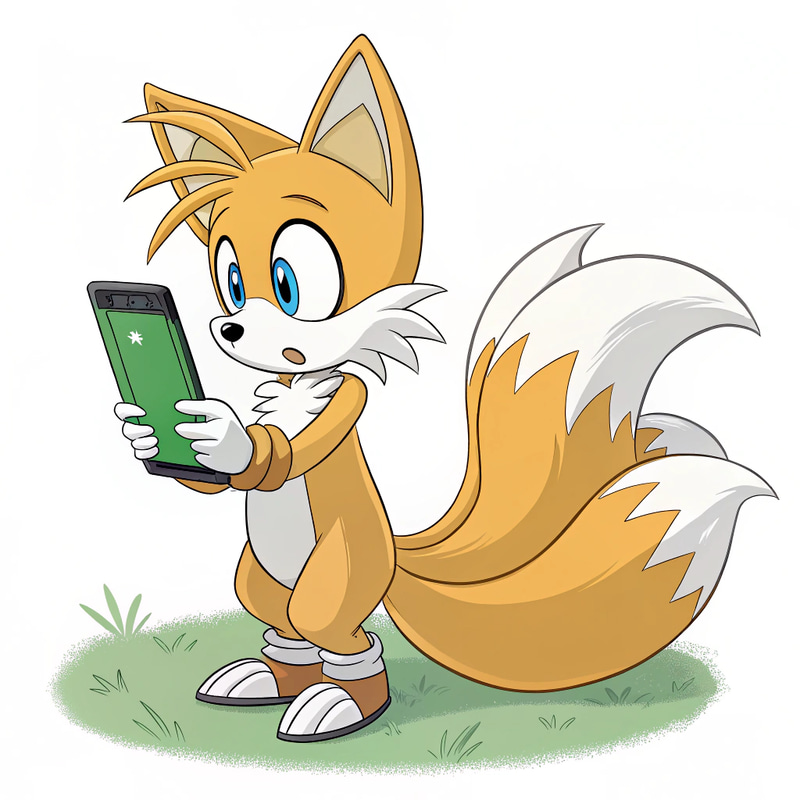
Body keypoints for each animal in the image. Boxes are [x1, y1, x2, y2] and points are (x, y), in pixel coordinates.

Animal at [115, 34, 773, 742]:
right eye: (231, 280)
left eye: (288, 282)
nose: (231, 327)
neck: (296, 379)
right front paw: (143, 430)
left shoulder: (343, 405)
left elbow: (294, 449)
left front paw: (226, 440)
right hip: (258, 574)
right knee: (278, 617)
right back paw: (271, 677)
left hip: (341, 570)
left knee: (326, 624)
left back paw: (339, 702)